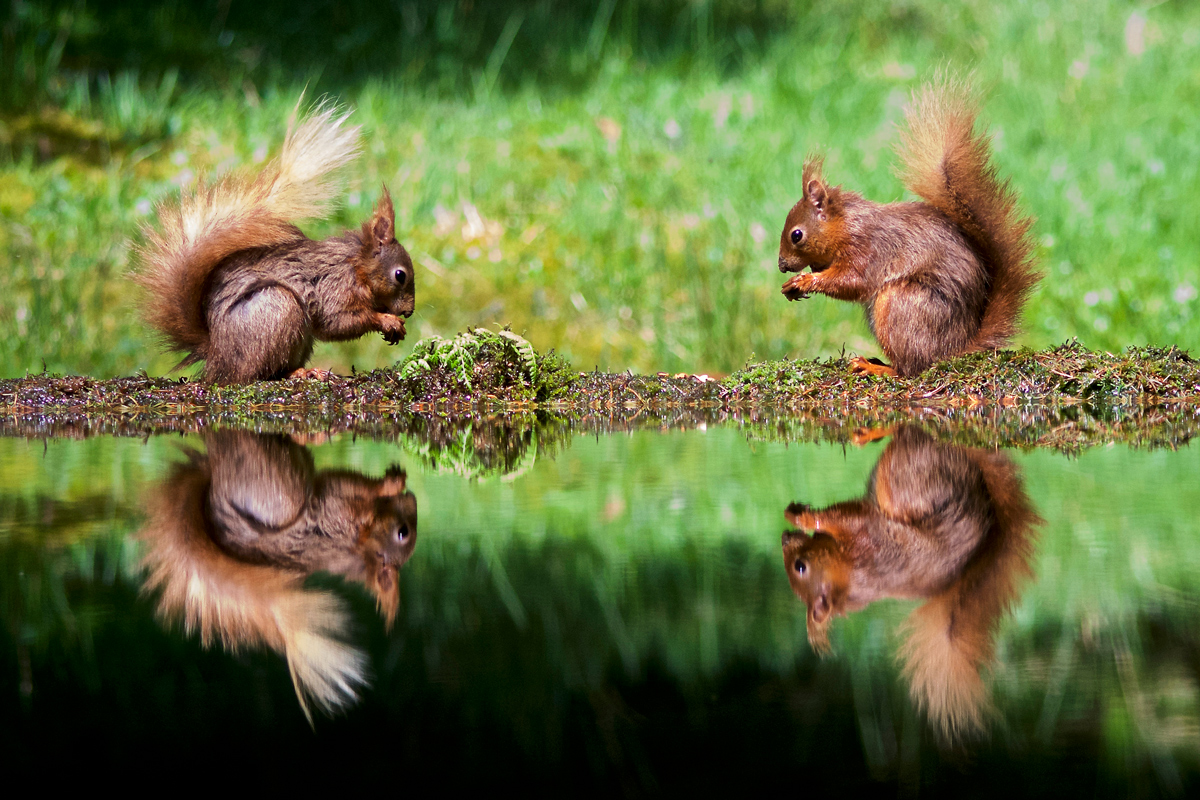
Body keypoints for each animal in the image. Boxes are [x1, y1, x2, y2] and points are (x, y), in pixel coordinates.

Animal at [136, 102, 415, 384]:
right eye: (400, 275)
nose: (409, 312)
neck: (357, 266)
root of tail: (217, 356)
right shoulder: (336, 286)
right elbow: (337, 321)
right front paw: (387, 321)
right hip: (279, 309)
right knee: (259, 373)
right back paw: (298, 371)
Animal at [777, 78, 1042, 377]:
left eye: (796, 235)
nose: (782, 265)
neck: (845, 224)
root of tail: (954, 349)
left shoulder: (868, 247)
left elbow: (853, 281)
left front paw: (805, 280)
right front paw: (795, 285)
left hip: (899, 305)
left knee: (911, 368)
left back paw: (876, 368)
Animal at [781, 424, 1041, 738]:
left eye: (800, 567)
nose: (783, 539)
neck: (848, 580)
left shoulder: (868, 541)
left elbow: (844, 516)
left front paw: (802, 517)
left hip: (908, 477)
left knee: (907, 435)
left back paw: (874, 432)